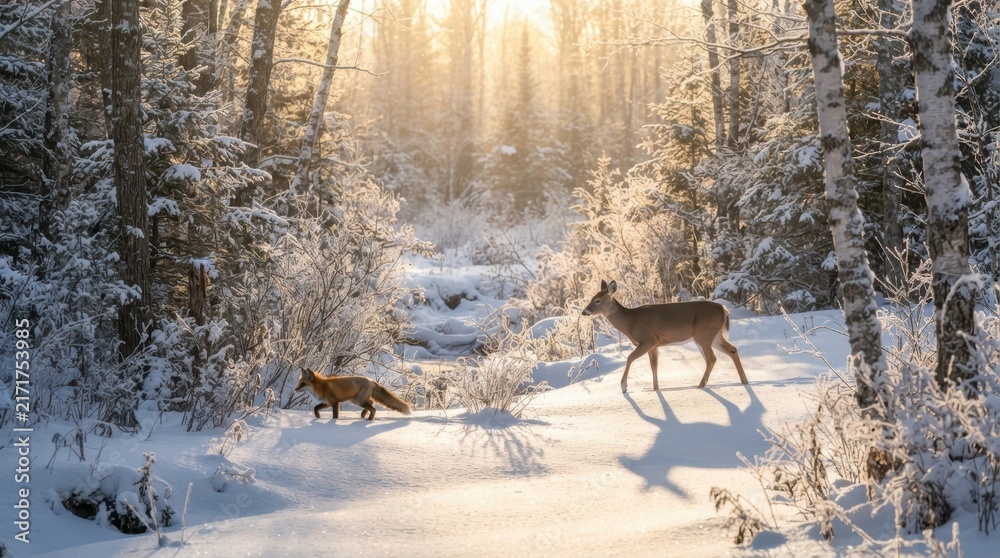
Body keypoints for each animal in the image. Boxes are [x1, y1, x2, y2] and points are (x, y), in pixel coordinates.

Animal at [581, 280, 748, 393]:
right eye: (591, 298)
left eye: (597, 300)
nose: (584, 311)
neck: (631, 322)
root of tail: (723, 309)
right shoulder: (654, 344)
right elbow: (654, 365)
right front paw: (656, 389)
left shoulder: (648, 340)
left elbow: (629, 358)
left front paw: (624, 387)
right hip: (713, 335)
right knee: (732, 349)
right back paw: (744, 381)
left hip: (704, 335)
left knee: (711, 358)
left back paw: (700, 385)